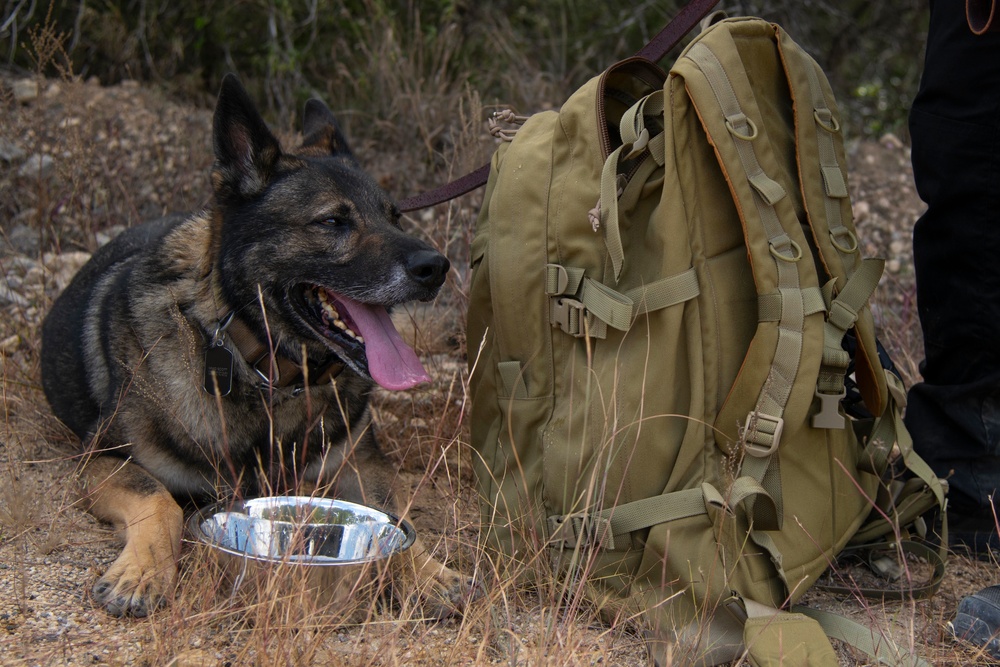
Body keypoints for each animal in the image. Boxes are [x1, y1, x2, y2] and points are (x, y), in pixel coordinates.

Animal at [41, 75, 470, 620]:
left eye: (395, 217)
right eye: (333, 222)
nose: (436, 268)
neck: (267, 375)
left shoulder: (361, 462)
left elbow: (394, 515)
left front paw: (428, 572)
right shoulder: (101, 459)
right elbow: (158, 498)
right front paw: (141, 574)